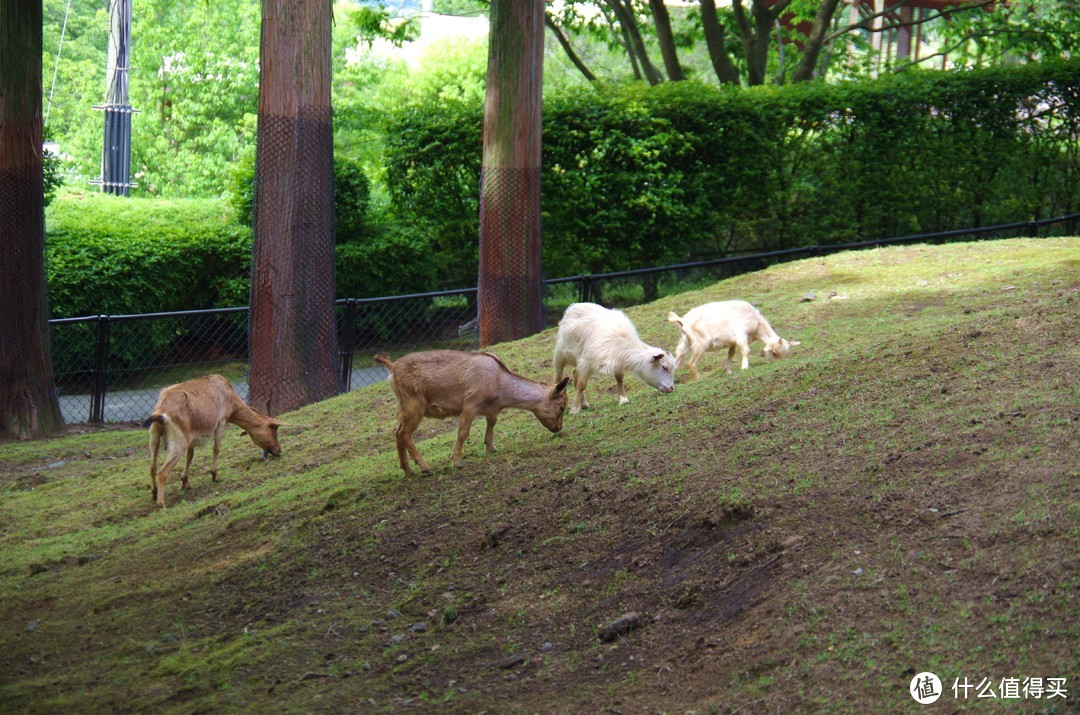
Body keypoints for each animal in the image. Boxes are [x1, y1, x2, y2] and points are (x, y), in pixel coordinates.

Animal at [141, 375, 285, 509]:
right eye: (273, 428)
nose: (278, 450)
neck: (228, 393)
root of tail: (160, 413)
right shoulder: (221, 422)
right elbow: (216, 448)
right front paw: (215, 475)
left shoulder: (192, 437)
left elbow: (190, 456)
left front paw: (185, 482)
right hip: (178, 442)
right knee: (162, 471)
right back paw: (161, 504)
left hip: (154, 436)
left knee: (152, 466)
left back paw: (154, 492)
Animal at [373, 352, 570, 479]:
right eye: (561, 407)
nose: (558, 428)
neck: (499, 383)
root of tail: (392, 368)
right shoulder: (470, 404)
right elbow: (463, 433)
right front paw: (456, 461)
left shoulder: (491, 410)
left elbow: (492, 424)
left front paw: (491, 448)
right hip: (415, 404)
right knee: (405, 433)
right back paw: (425, 468)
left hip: (403, 405)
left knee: (397, 432)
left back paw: (407, 470)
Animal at [665, 300, 803, 380]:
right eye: (774, 352)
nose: (777, 364)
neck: (756, 323)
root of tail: (683, 321)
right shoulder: (741, 334)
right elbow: (746, 351)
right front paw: (744, 368)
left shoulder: (732, 342)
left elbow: (731, 354)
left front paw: (729, 371)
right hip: (701, 344)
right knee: (691, 363)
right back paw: (697, 380)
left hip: (685, 343)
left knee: (677, 359)